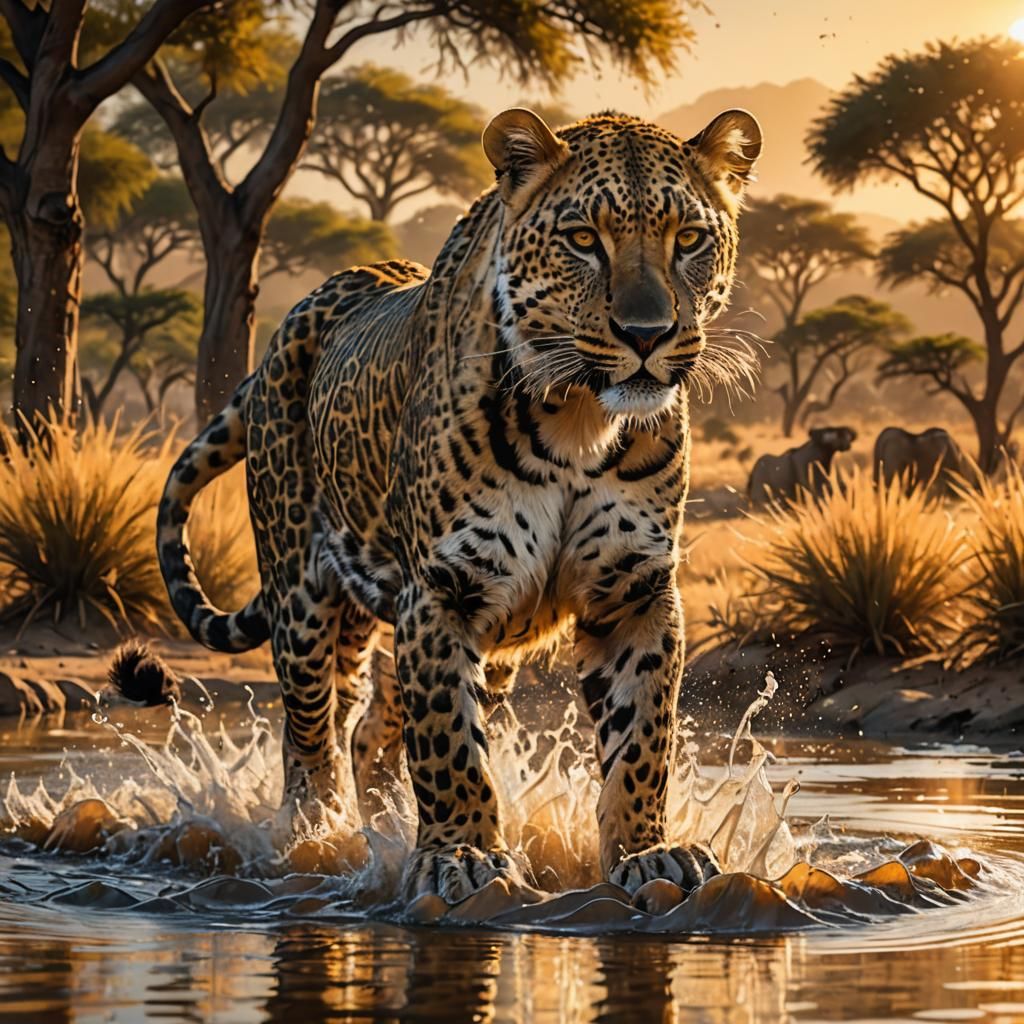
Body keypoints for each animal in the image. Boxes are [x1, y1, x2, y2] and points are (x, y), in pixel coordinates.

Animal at [133, 106, 763, 904]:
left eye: (688, 240)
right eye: (583, 239)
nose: (647, 335)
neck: (578, 419)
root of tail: (295, 316)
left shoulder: (635, 591)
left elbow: (642, 739)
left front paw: (647, 853)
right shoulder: (443, 591)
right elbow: (450, 746)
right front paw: (461, 857)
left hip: (428, 632)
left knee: (368, 726)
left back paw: (376, 825)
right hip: (301, 593)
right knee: (310, 731)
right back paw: (314, 838)